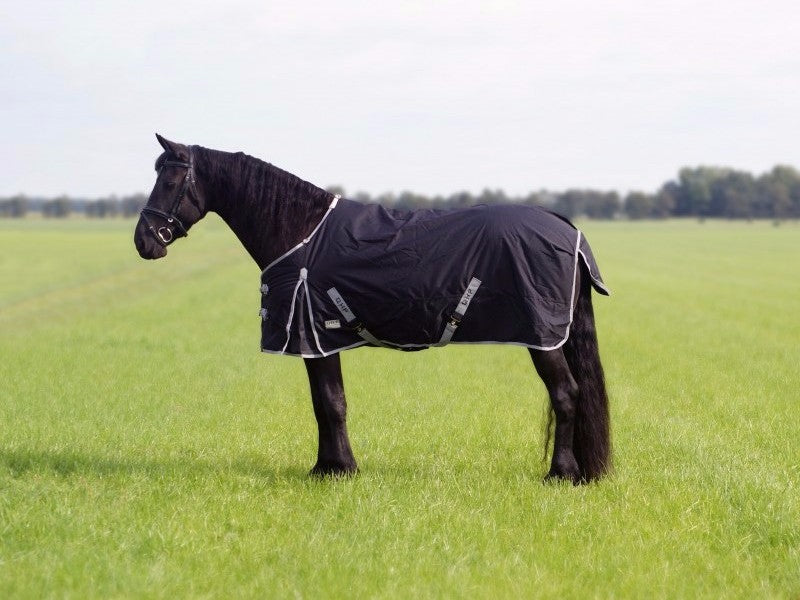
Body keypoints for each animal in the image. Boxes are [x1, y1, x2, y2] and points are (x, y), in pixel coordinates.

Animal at [134, 134, 611, 484]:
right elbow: (326, 402)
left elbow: (329, 403)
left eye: (171, 181)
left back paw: (561, 474)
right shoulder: (321, 342)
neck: (300, 232)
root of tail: (566, 227)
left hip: (543, 338)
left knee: (566, 393)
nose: (144, 241)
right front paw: (329, 466)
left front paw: (336, 471)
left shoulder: (314, 337)